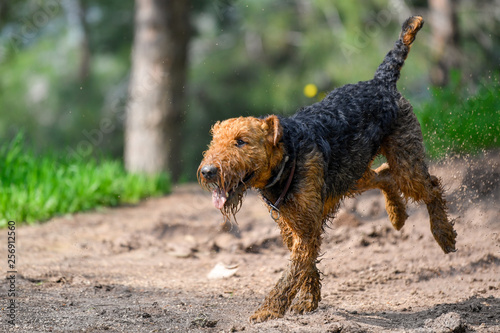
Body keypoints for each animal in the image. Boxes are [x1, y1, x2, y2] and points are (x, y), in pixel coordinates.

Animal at [198, 16, 458, 322]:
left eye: (241, 141)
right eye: (214, 141)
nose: (208, 171)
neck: (289, 157)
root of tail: (380, 82)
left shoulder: (306, 227)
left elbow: (292, 272)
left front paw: (268, 309)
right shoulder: (294, 227)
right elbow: (305, 266)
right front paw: (308, 301)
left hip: (404, 162)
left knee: (432, 186)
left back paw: (444, 235)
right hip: (353, 174)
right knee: (384, 175)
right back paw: (397, 215)